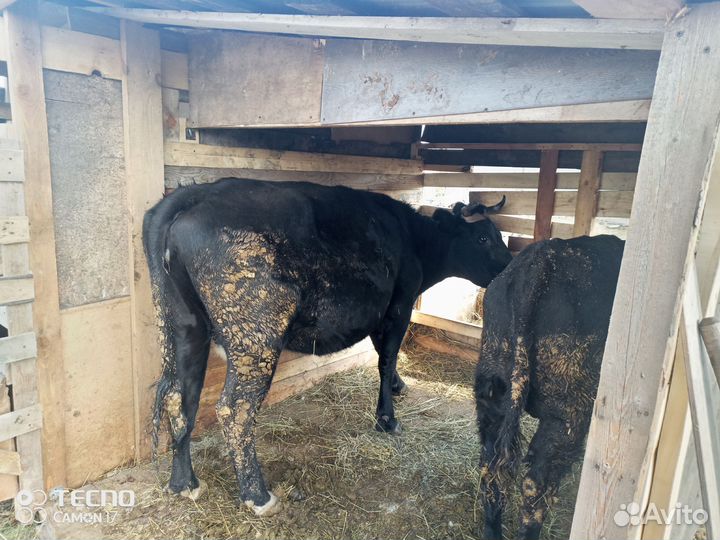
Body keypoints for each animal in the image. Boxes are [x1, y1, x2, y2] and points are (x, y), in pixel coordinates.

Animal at [143, 178, 512, 516]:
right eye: (483, 238)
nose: (510, 267)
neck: (413, 239)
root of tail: (196, 193)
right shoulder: (399, 305)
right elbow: (387, 357)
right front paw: (387, 419)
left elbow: (386, 357)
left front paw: (398, 386)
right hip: (255, 334)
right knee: (234, 408)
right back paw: (257, 495)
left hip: (183, 325)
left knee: (179, 397)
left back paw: (183, 483)